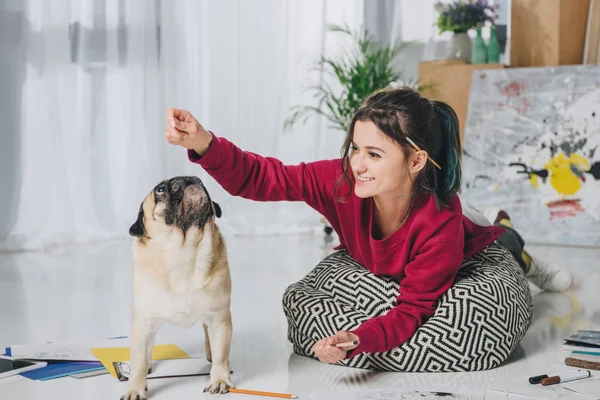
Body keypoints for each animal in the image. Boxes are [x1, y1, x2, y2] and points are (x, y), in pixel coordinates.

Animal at [121, 177, 232, 398]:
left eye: (200, 180)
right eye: (160, 190)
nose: (189, 178)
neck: (184, 252)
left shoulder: (220, 319)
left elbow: (221, 356)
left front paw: (219, 379)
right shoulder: (143, 323)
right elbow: (138, 362)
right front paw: (135, 389)